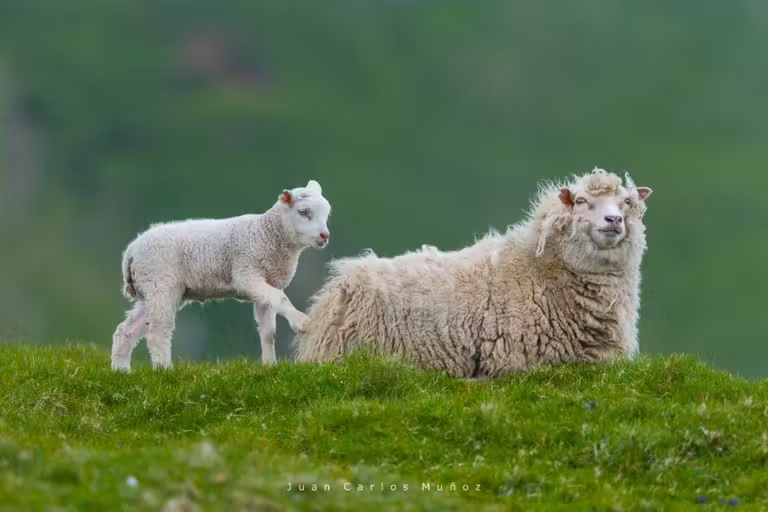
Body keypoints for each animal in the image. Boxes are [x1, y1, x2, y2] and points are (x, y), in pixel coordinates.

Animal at [110, 179, 331, 371]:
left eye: (327, 214)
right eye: (303, 212)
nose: (324, 236)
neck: (266, 234)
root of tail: (131, 251)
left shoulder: (266, 284)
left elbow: (268, 331)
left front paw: (270, 365)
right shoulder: (246, 273)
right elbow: (280, 298)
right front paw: (301, 322)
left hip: (151, 289)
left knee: (126, 330)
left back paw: (121, 370)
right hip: (160, 283)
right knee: (157, 332)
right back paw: (164, 369)